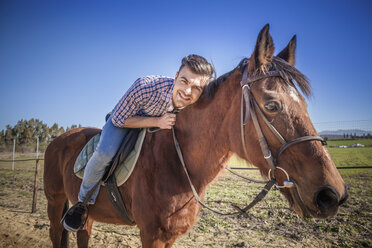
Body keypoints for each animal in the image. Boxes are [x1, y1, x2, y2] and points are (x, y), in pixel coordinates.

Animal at [44, 23, 348, 248]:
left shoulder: (168, 237)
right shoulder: (151, 235)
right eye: (272, 105)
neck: (177, 162)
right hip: (55, 201)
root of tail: (58, 139)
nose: (331, 195)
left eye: (305, 105)